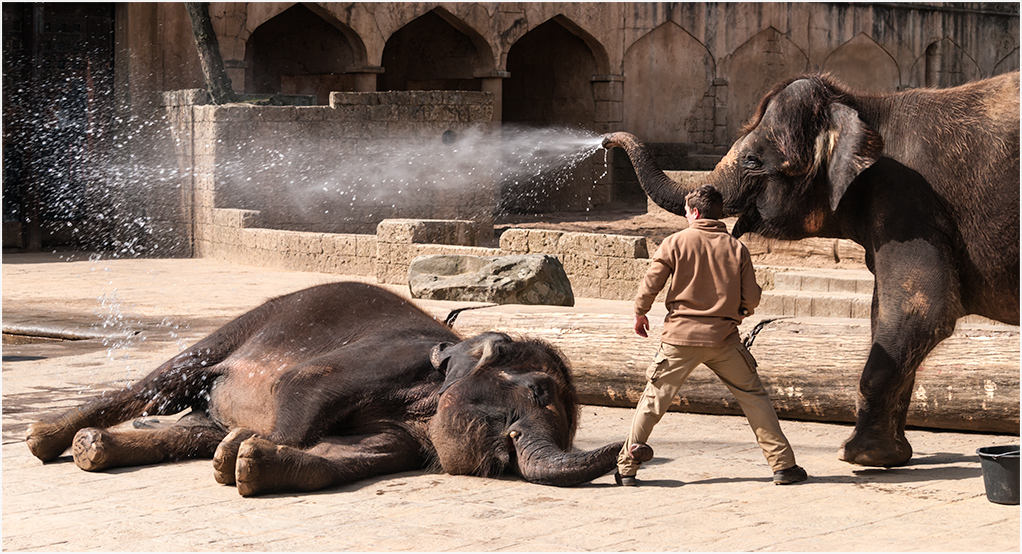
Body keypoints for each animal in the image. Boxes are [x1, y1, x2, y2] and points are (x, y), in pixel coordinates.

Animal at [25, 284, 637, 496]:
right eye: (537, 393)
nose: (634, 457)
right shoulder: (379, 360)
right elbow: (303, 389)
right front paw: (238, 453)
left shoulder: (407, 437)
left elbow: (347, 456)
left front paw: (242, 462)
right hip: (251, 322)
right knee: (168, 377)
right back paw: (46, 438)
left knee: (191, 429)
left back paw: (98, 447)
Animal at [600, 69, 1017, 470]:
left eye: (752, 160)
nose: (604, 141)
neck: (864, 107)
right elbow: (885, 316)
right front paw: (892, 457)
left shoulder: (909, 205)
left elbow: (921, 312)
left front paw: (859, 456)